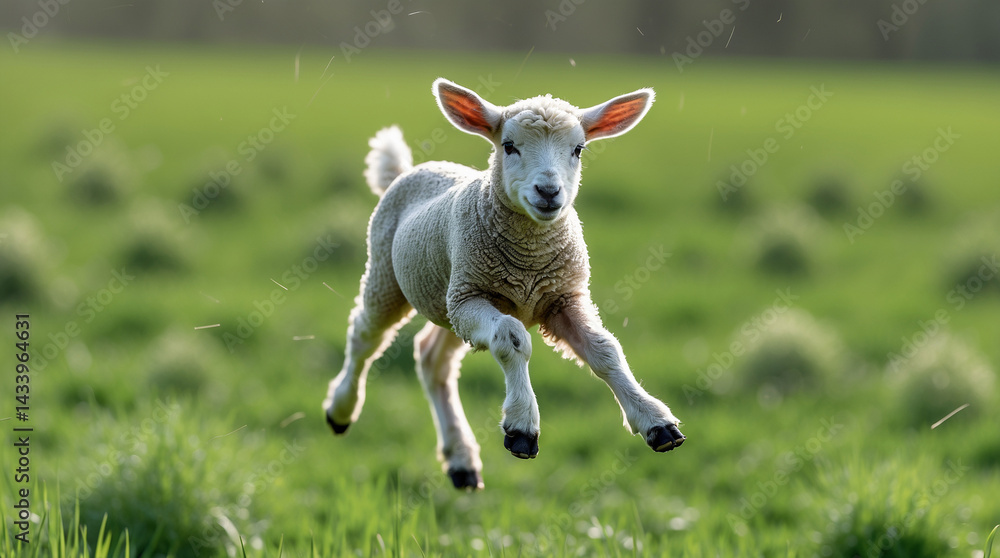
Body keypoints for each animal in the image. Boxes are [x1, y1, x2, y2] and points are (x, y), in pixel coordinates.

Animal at [323, 78, 685, 490]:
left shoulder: (561, 298)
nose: (549, 192)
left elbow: (605, 350)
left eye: (578, 149)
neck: (529, 261)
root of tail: (411, 169)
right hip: (394, 278)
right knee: (365, 337)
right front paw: (522, 425)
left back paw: (461, 460)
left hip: (451, 299)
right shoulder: (476, 298)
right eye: (509, 146)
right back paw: (341, 409)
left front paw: (655, 421)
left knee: (433, 360)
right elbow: (512, 339)